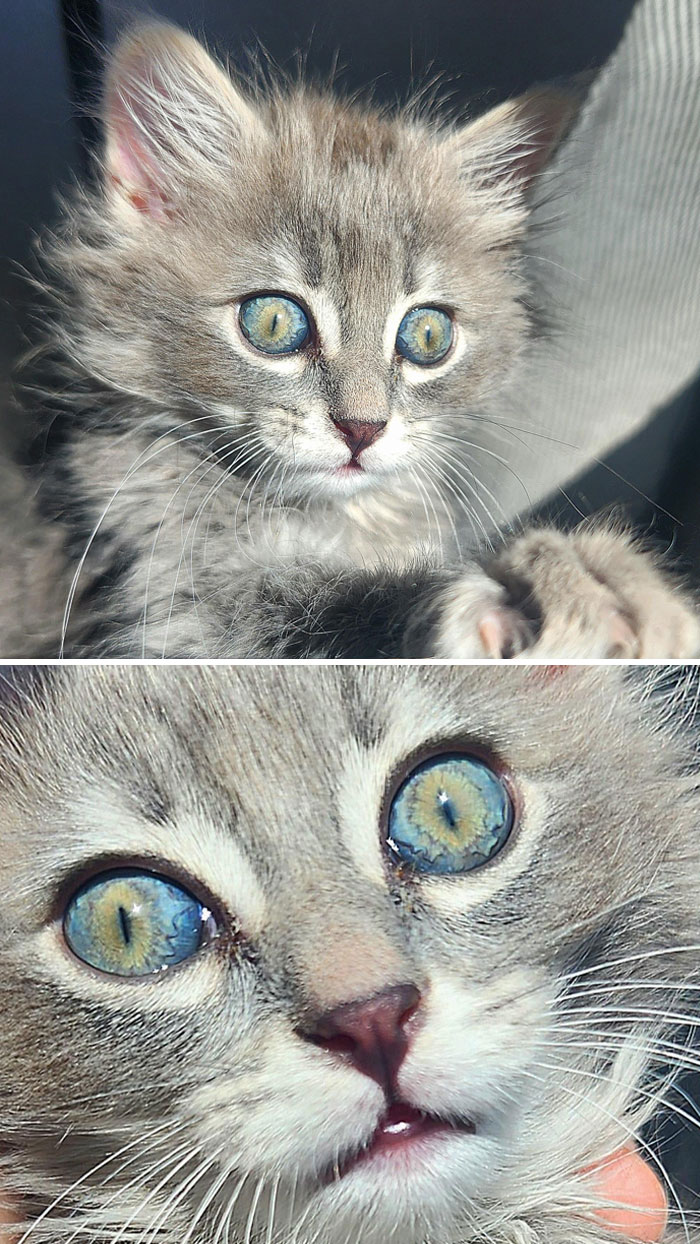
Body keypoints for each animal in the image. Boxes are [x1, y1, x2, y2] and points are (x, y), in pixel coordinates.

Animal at [6, 21, 700, 661]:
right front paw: (553, 593)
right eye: (272, 323)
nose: (362, 429)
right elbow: (318, 612)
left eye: (428, 335)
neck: (337, 520)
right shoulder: (159, 599)